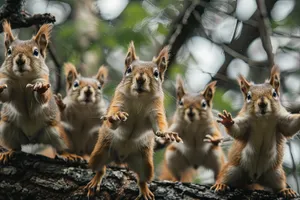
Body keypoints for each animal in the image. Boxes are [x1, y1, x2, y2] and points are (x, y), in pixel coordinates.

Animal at [0, 20, 81, 162]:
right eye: (9, 51)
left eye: (36, 52)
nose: (20, 60)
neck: (23, 79)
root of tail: (31, 139)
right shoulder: (6, 81)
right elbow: (5, 96)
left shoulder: (42, 78)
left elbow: (43, 97)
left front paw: (41, 88)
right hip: (5, 128)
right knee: (16, 147)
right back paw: (9, 152)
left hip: (56, 131)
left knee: (61, 147)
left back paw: (68, 154)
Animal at [85, 41, 182, 199]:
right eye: (129, 69)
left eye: (156, 73)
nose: (140, 79)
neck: (139, 99)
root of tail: (122, 157)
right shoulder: (118, 101)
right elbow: (113, 119)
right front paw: (116, 117)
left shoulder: (156, 110)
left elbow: (158, 124)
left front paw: (166, 133)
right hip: (100, 152)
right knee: (100, 168)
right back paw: (95, 181)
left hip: (146, 163)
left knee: (142, 179)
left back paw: (145, 190)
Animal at [211, 66, 300, 198]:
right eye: (248, 96)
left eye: (274, 94)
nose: (262, 104)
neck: (263, 119)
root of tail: (254, 178)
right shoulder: (245, 122)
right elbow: (237, 130)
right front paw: (228, 121)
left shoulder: (282, 120)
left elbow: (291, 126)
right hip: (232, 169)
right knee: (224, 177)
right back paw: (220, 184)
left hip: (276, 174)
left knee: (278, 186)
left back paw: (285, 190)